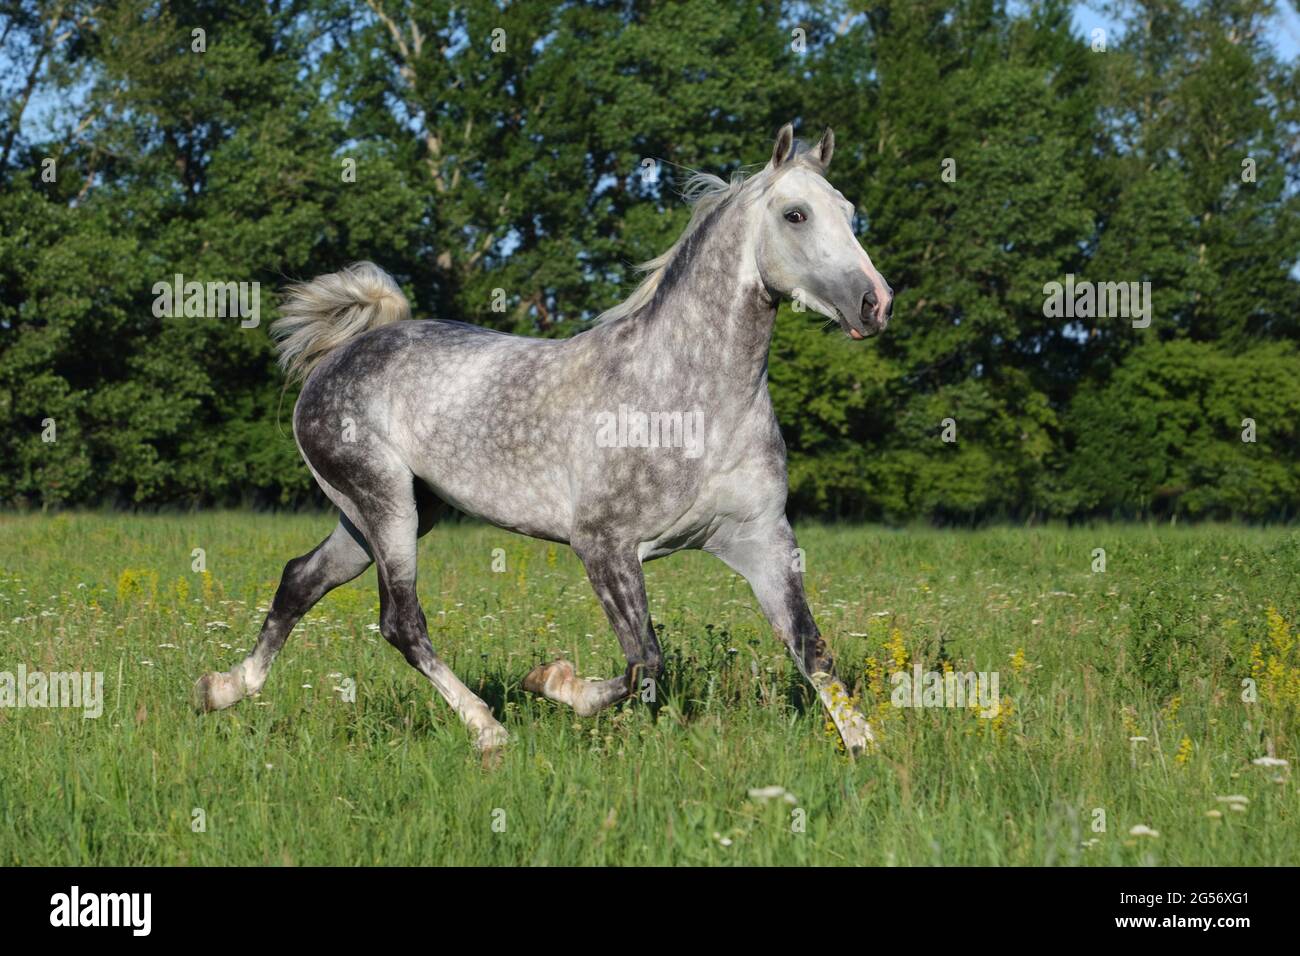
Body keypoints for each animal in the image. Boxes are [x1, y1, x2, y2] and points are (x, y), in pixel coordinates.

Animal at [195, 121, 894, 764]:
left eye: (850, 211)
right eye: (795, 214)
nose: (876, 303)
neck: (693, 398)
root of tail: (340, 355)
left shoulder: (763, 541)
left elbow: (812, 649)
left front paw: (866, 749)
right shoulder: (605, 545)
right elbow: (645, 662)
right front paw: (552, 683)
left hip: (380, 516)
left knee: (301, 579)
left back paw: (222, 689)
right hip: (385, 505)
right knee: (401, 622)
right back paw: (487, 728)